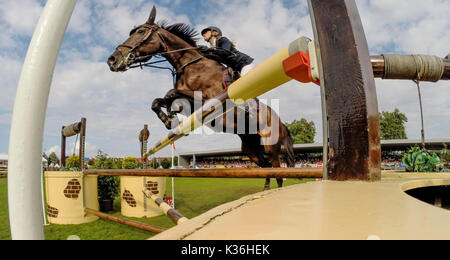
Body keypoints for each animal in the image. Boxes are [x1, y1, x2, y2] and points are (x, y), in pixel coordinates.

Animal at [106, 5, 296, 189]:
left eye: (139, 32)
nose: (112, 60)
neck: (190, 66)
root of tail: (281, 121)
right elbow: (158, 101)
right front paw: (170, 118)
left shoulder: (208, 101)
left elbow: (171, 93)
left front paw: (171, 117)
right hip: (251, 147)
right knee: (266, 166)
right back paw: (266, 190)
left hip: (270, 145)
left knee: (277, 170)